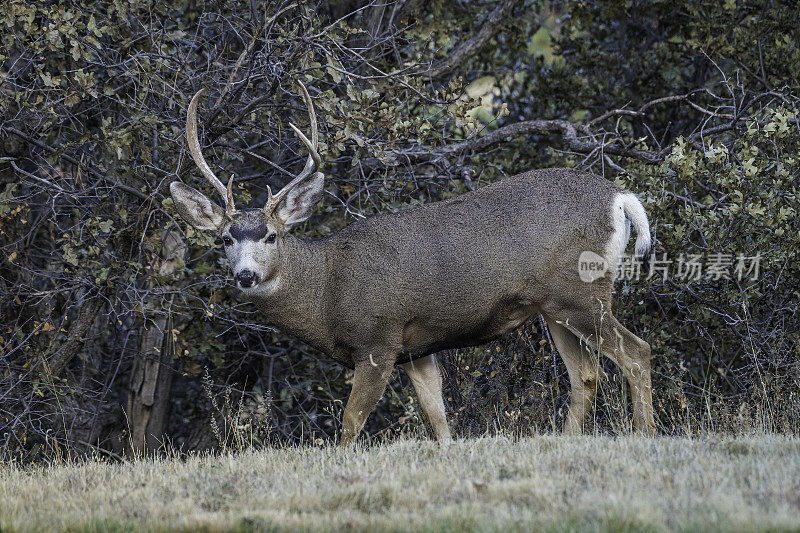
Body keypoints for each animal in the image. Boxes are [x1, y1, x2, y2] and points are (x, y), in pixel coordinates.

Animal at [169, 81, 656, 442]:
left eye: (271, 235)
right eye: (225, 239)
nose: (246, 275)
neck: (327, 291)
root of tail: (621, 197)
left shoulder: (378, 340)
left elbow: (350, 425)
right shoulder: (416, 348)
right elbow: (438, 421)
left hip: (580, 292)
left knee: (637, 352)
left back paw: (643, 434)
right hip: (555, 308)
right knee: (586, 374)